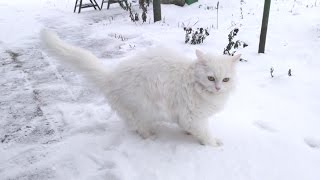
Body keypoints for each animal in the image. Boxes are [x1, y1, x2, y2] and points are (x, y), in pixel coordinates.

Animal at [40, 29, 240, 146]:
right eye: (211, 78)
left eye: (226, 80)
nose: (218, 88)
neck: (193, 81)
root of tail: (111, 77)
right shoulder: (193, 116)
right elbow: (206, 134)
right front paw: (213, 144)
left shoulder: (185, 116)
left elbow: (189, 128)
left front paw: (189, 134)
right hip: (143, 109)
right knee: (140, 128)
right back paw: (151, 137)